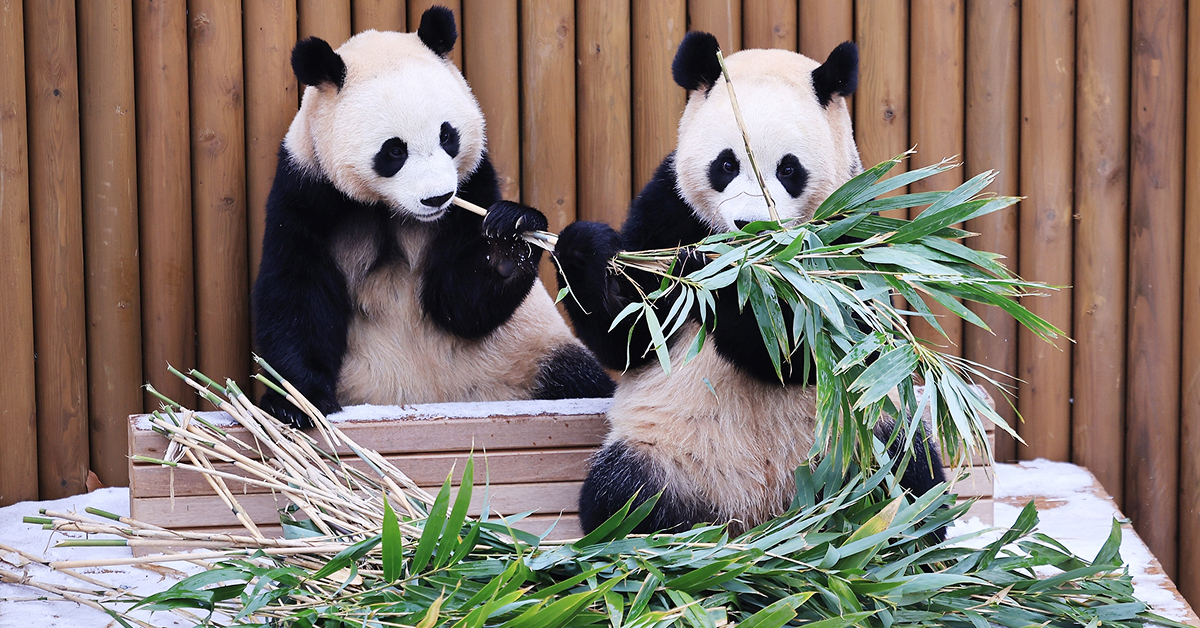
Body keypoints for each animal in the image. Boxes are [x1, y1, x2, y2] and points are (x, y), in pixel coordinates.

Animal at [253, 6, 614, 428]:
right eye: (394, 151)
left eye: (447, 135)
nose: (438, 197)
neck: (390, 212)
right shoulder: (307, 190)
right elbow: (297, 292)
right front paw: (295, 404)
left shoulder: (474, 183)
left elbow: (459, 304)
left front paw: (509, 241)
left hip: (529, 356)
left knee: (580, 378)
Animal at [553, 32, 945, 536]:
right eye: (726, 164)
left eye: (789, 169)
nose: (748, 226)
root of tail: (762, 513)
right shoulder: (667, 209)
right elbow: (633, 340)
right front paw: (587, 250)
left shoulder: (851, 231)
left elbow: (824, 345)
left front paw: (732, 285)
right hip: (667, 453)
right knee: (620, 496)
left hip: (864, 438)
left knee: (913, 480)